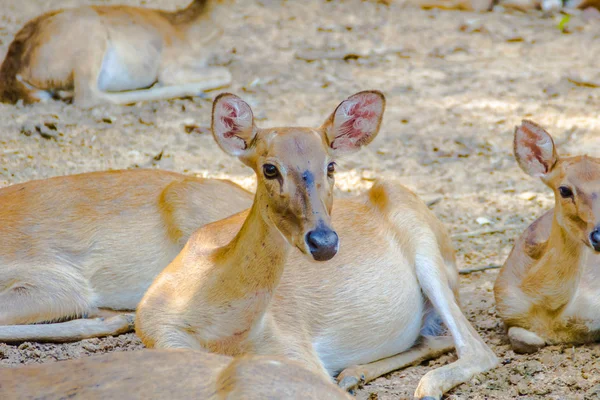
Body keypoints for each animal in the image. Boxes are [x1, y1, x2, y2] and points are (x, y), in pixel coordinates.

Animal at [136, 90, 496, 400]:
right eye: (269, 167)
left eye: (331, 165)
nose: (324, 242)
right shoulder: (161, 336)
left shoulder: (294, 345)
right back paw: (354, 373)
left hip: (422, 238)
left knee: (477, 348)